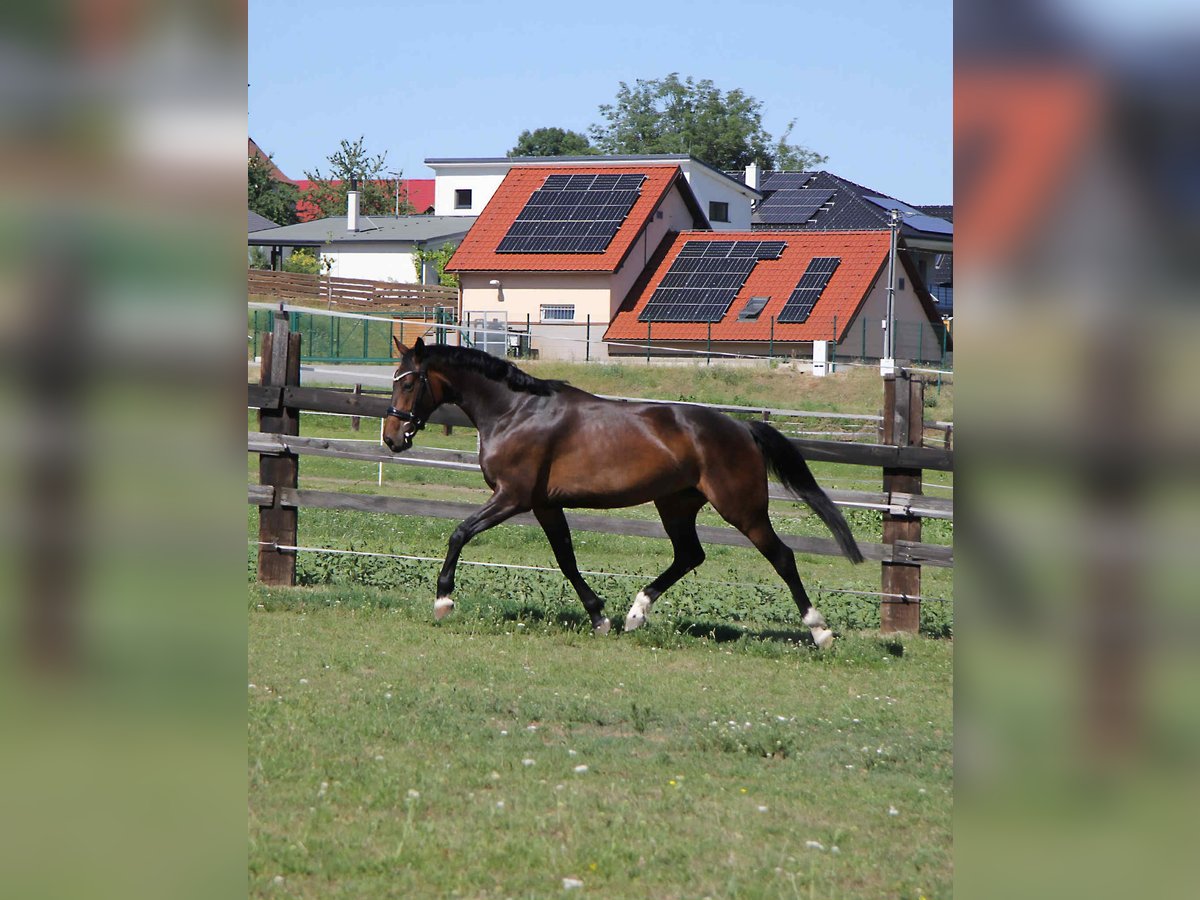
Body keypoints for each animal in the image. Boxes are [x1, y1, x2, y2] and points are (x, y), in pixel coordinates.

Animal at [382, 338, 864, 648]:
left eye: (408, 382)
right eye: (393, 380)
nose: (392, 438)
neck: (516, 411)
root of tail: (741, 427)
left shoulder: (512, 497)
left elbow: (460, 533)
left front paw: (443, 600)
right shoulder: (544, 504)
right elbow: (566, 559)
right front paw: (600, 617)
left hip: (741, 508)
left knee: (782, 556)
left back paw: (820, 631)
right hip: (675, 504)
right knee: (689, 555)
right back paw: (636, 614)